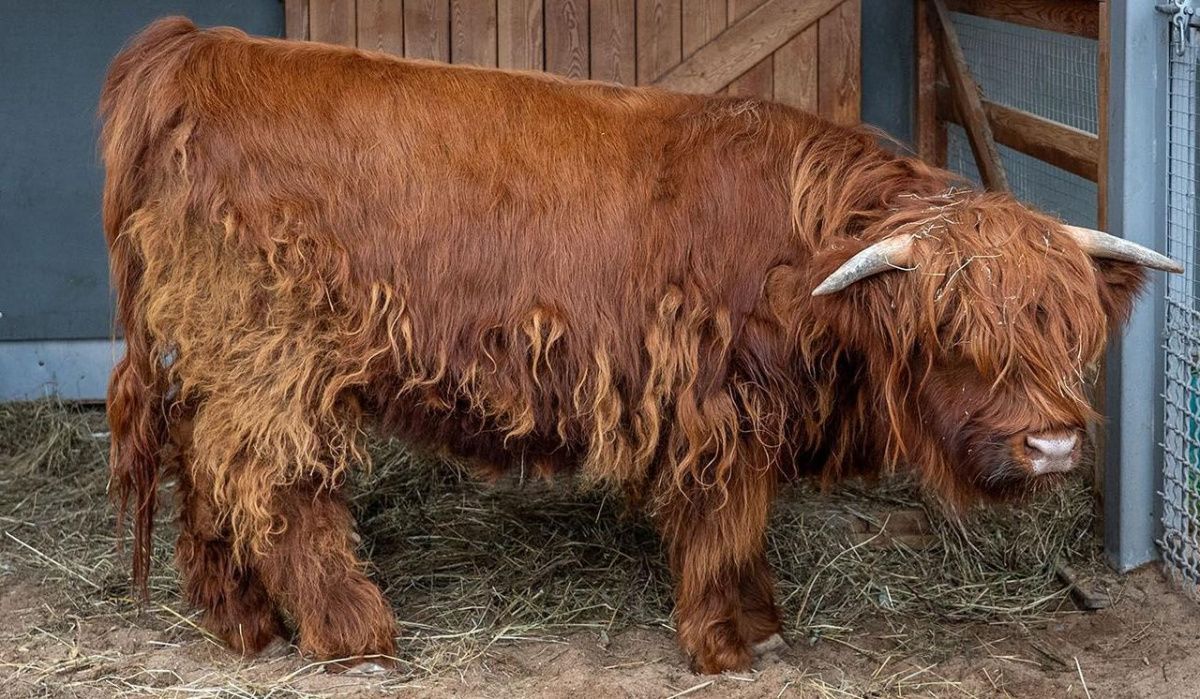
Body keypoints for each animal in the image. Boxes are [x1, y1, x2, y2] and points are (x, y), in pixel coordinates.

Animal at [100, 17, 1179, 674]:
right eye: (952, 332)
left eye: (1069, 331)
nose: (1053, 444)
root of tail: (202, 49)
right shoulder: (714, 406)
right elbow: (724, 523)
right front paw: (729, 641)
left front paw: (758, 622)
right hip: (276, 360)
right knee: (272, 484)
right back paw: (351, 633)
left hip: (223, 360)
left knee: (206, 470)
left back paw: (238, 621)